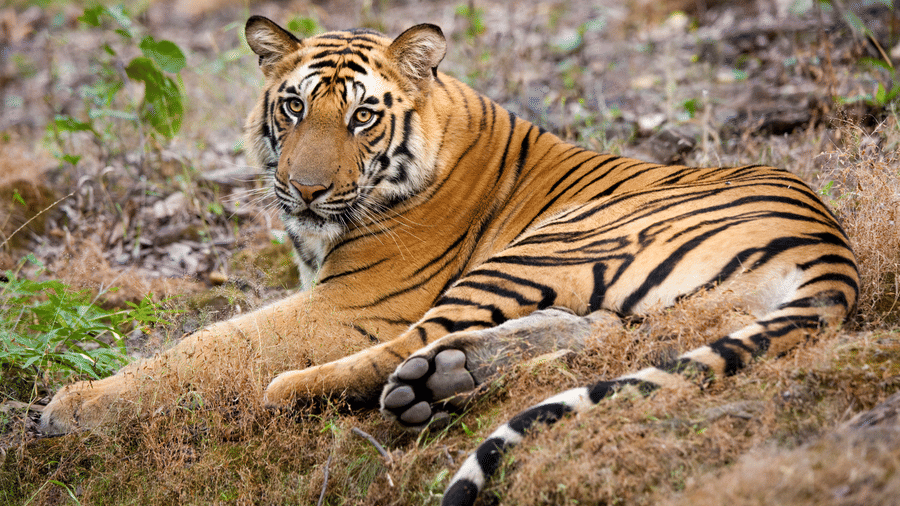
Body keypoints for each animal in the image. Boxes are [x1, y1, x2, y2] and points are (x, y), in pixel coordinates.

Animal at [41, 15, 858, 506]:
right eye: (294, 106)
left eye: (362, 116)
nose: (305, 189)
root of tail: (831, 245)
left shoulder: (351, 303)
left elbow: (210, 342)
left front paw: (72, 406)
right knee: (590, 334)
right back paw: (448, 379)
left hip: (551, 241)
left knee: (401, 350)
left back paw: (324, 389)